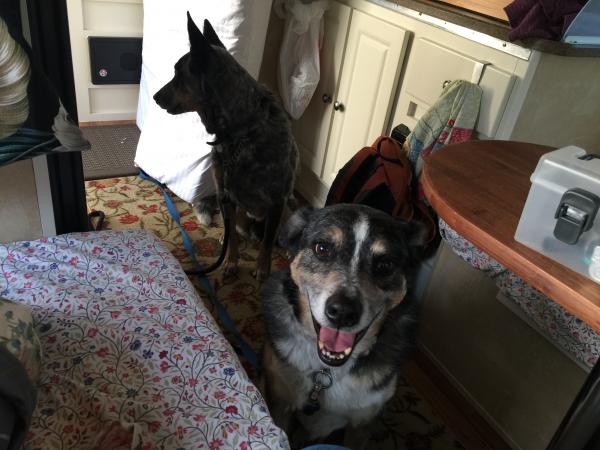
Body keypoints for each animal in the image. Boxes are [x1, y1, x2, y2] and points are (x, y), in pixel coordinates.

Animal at [152, 14, 298, 280]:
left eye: (178, 74)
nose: (156, 97)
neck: (240, 130)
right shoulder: (225, 194)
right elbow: (234, 242)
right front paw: (230, 263)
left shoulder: (276, 201)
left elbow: (267, 243)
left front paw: (263, 269)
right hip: (233, 208)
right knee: (234, 229)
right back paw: (224, 236)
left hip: (288, 209)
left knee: (276, 236)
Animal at [260, 206, 424, 444]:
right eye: (322, 248)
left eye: (385, 264)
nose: (343, 312)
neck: (327, 370)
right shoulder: (280, 402)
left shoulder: (362, 422)